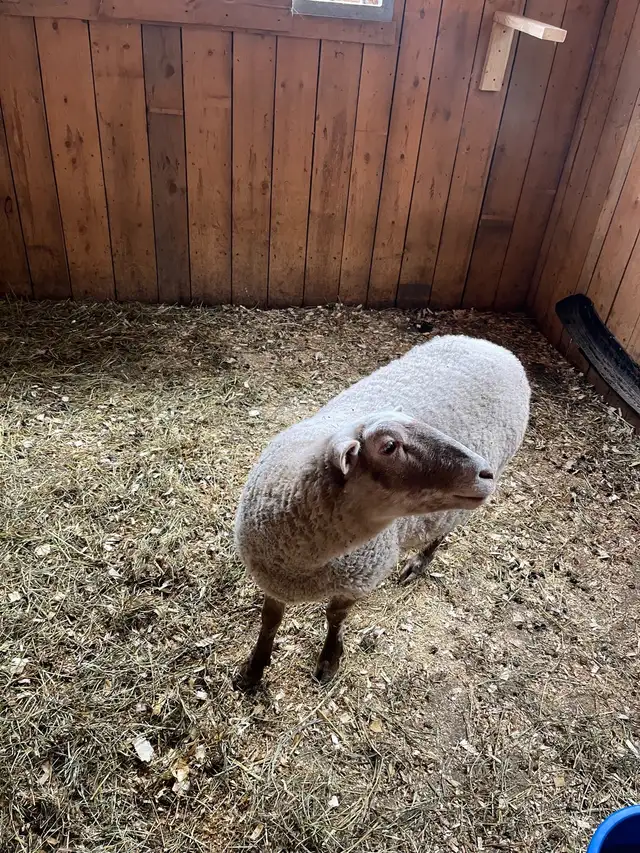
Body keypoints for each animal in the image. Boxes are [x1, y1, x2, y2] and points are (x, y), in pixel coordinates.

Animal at [233, 334, 530, 690]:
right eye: (389, 446)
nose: (485, 473)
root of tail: (496, 347)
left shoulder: (360, 576)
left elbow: (335, 617)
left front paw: (329, 661)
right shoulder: (272, 579)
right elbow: (270, 620)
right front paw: (253, 670)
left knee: (442, 532)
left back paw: (419, 563)